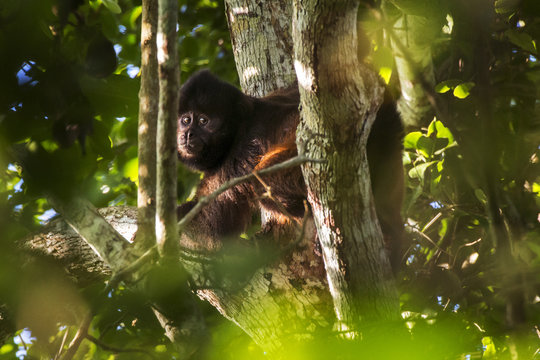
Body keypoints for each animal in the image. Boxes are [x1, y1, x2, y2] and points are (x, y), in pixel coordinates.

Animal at [175, 70, 402, 268]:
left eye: (203, 121)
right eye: (185, 120)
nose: (188, 134)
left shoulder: (239, 155)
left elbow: (211, 226)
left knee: (265, 185)